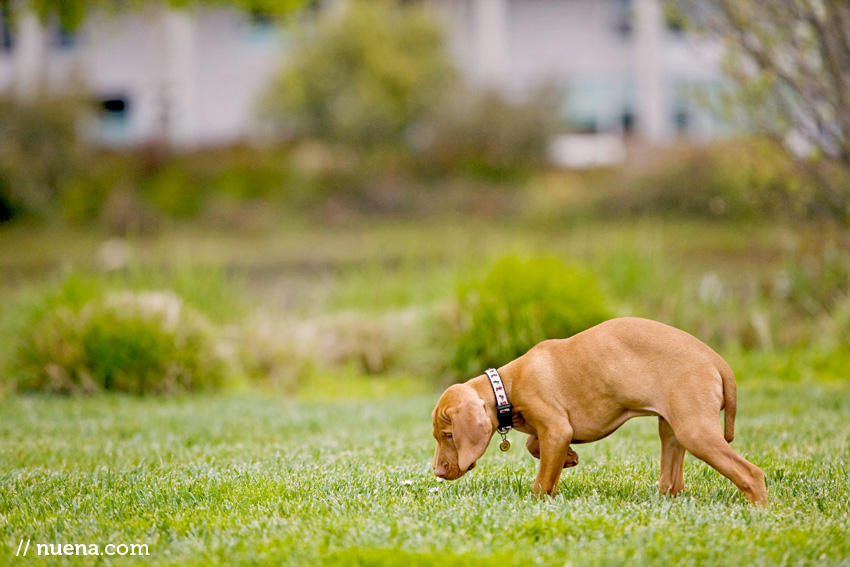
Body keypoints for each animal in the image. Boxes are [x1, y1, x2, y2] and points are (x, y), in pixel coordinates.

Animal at [430, 318, 768, 508]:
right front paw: (569, 458)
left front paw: (536, 501)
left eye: (448, 435)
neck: (506, 388)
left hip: (694, 431)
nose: (437, 472)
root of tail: (716, 360)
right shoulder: (554, 431)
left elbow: (542, 482)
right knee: (673, 483)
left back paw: (759, 513)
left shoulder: (557, 428)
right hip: (672, 430)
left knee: (751, 474)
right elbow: (534, 446)